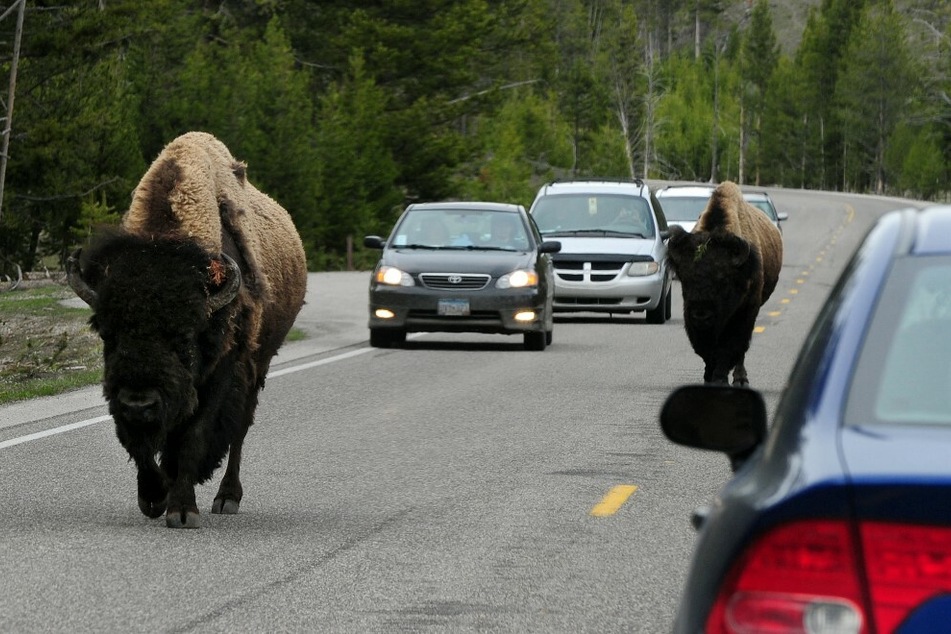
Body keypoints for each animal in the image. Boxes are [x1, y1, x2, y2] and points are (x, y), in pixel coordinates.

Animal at [67, 131, 304, 524]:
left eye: (184, 337)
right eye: (108, 334)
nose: (138, 402)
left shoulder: (221, 373)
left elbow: (194, 435)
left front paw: (182, 511)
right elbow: (141, 443)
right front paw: (153, 497)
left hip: (259, 364)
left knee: (239, 430)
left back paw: (227, 498)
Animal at [664, 179, 784, 386]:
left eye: (723, 280)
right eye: (685, 279)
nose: (701, 315)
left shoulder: (744, 312)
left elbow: (730, 348)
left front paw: (720, 379)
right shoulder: (693, 320)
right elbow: (706, 351)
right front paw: (708, 377)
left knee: (741, 351)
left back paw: (740, 379)